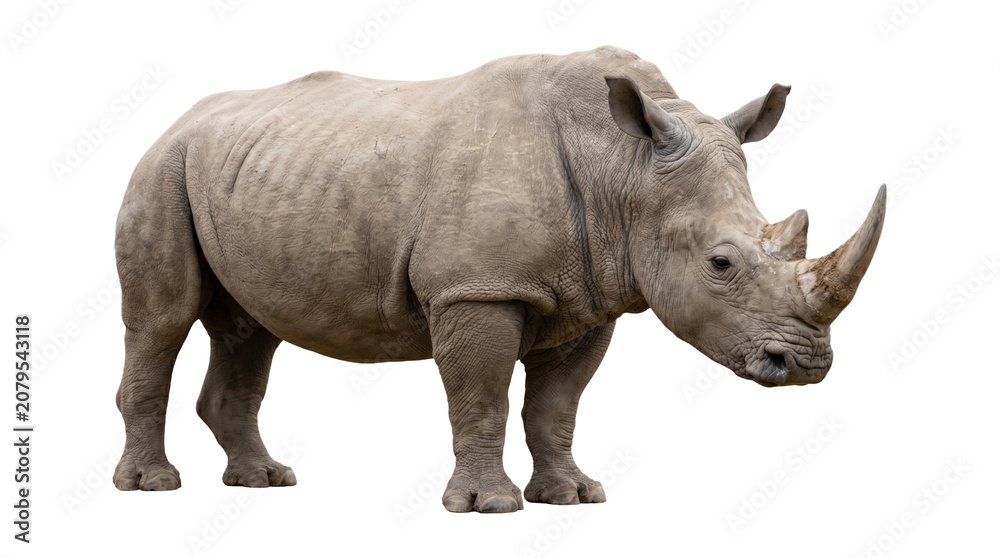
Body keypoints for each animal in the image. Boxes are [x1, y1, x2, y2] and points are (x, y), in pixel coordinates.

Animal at [113, 46, 885, 513]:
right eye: (721, 264)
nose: (806, 366)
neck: (625, 170)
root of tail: (179, 118)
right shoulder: (477, 288)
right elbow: (480, 393)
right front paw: (491, 506)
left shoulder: (590, 296)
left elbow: (556, 406)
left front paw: (572, 496)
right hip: (161, 170)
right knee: (161, 320)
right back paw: (153, 487)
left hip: (241, 169)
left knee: (249, 331)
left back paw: (265, 481)